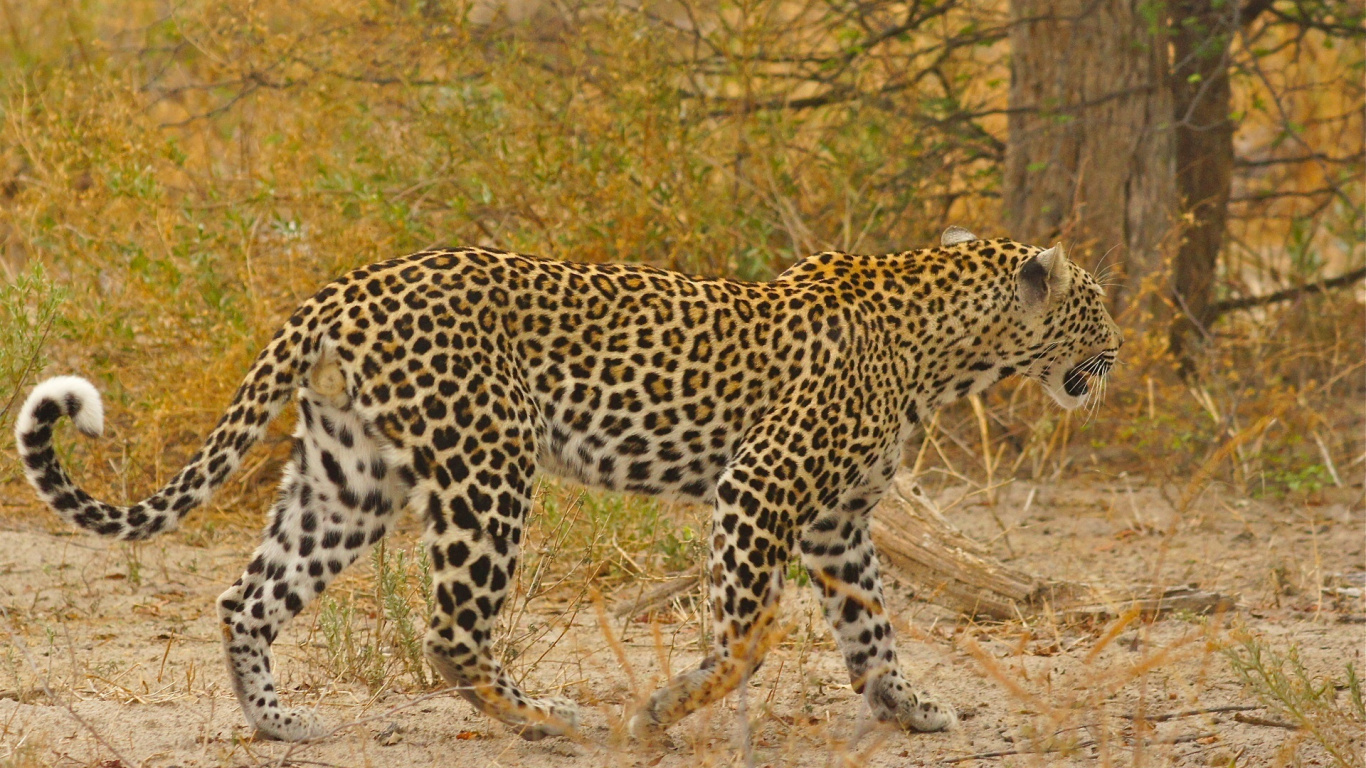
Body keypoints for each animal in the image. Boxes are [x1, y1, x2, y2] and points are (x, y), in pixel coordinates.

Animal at [15, 226, 1120, 744]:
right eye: (1099, 311)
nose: (1115, 360)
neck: (948, 350)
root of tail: (340, 288)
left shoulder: (839, 523)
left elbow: (871, 626)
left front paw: (909, 706)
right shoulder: (758, 489)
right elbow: (752, 634)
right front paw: (665, 711)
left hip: (349, 478)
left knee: (246, 597)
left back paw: (280, 724)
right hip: (488, 463)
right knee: (451, 631)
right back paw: (554, 723)